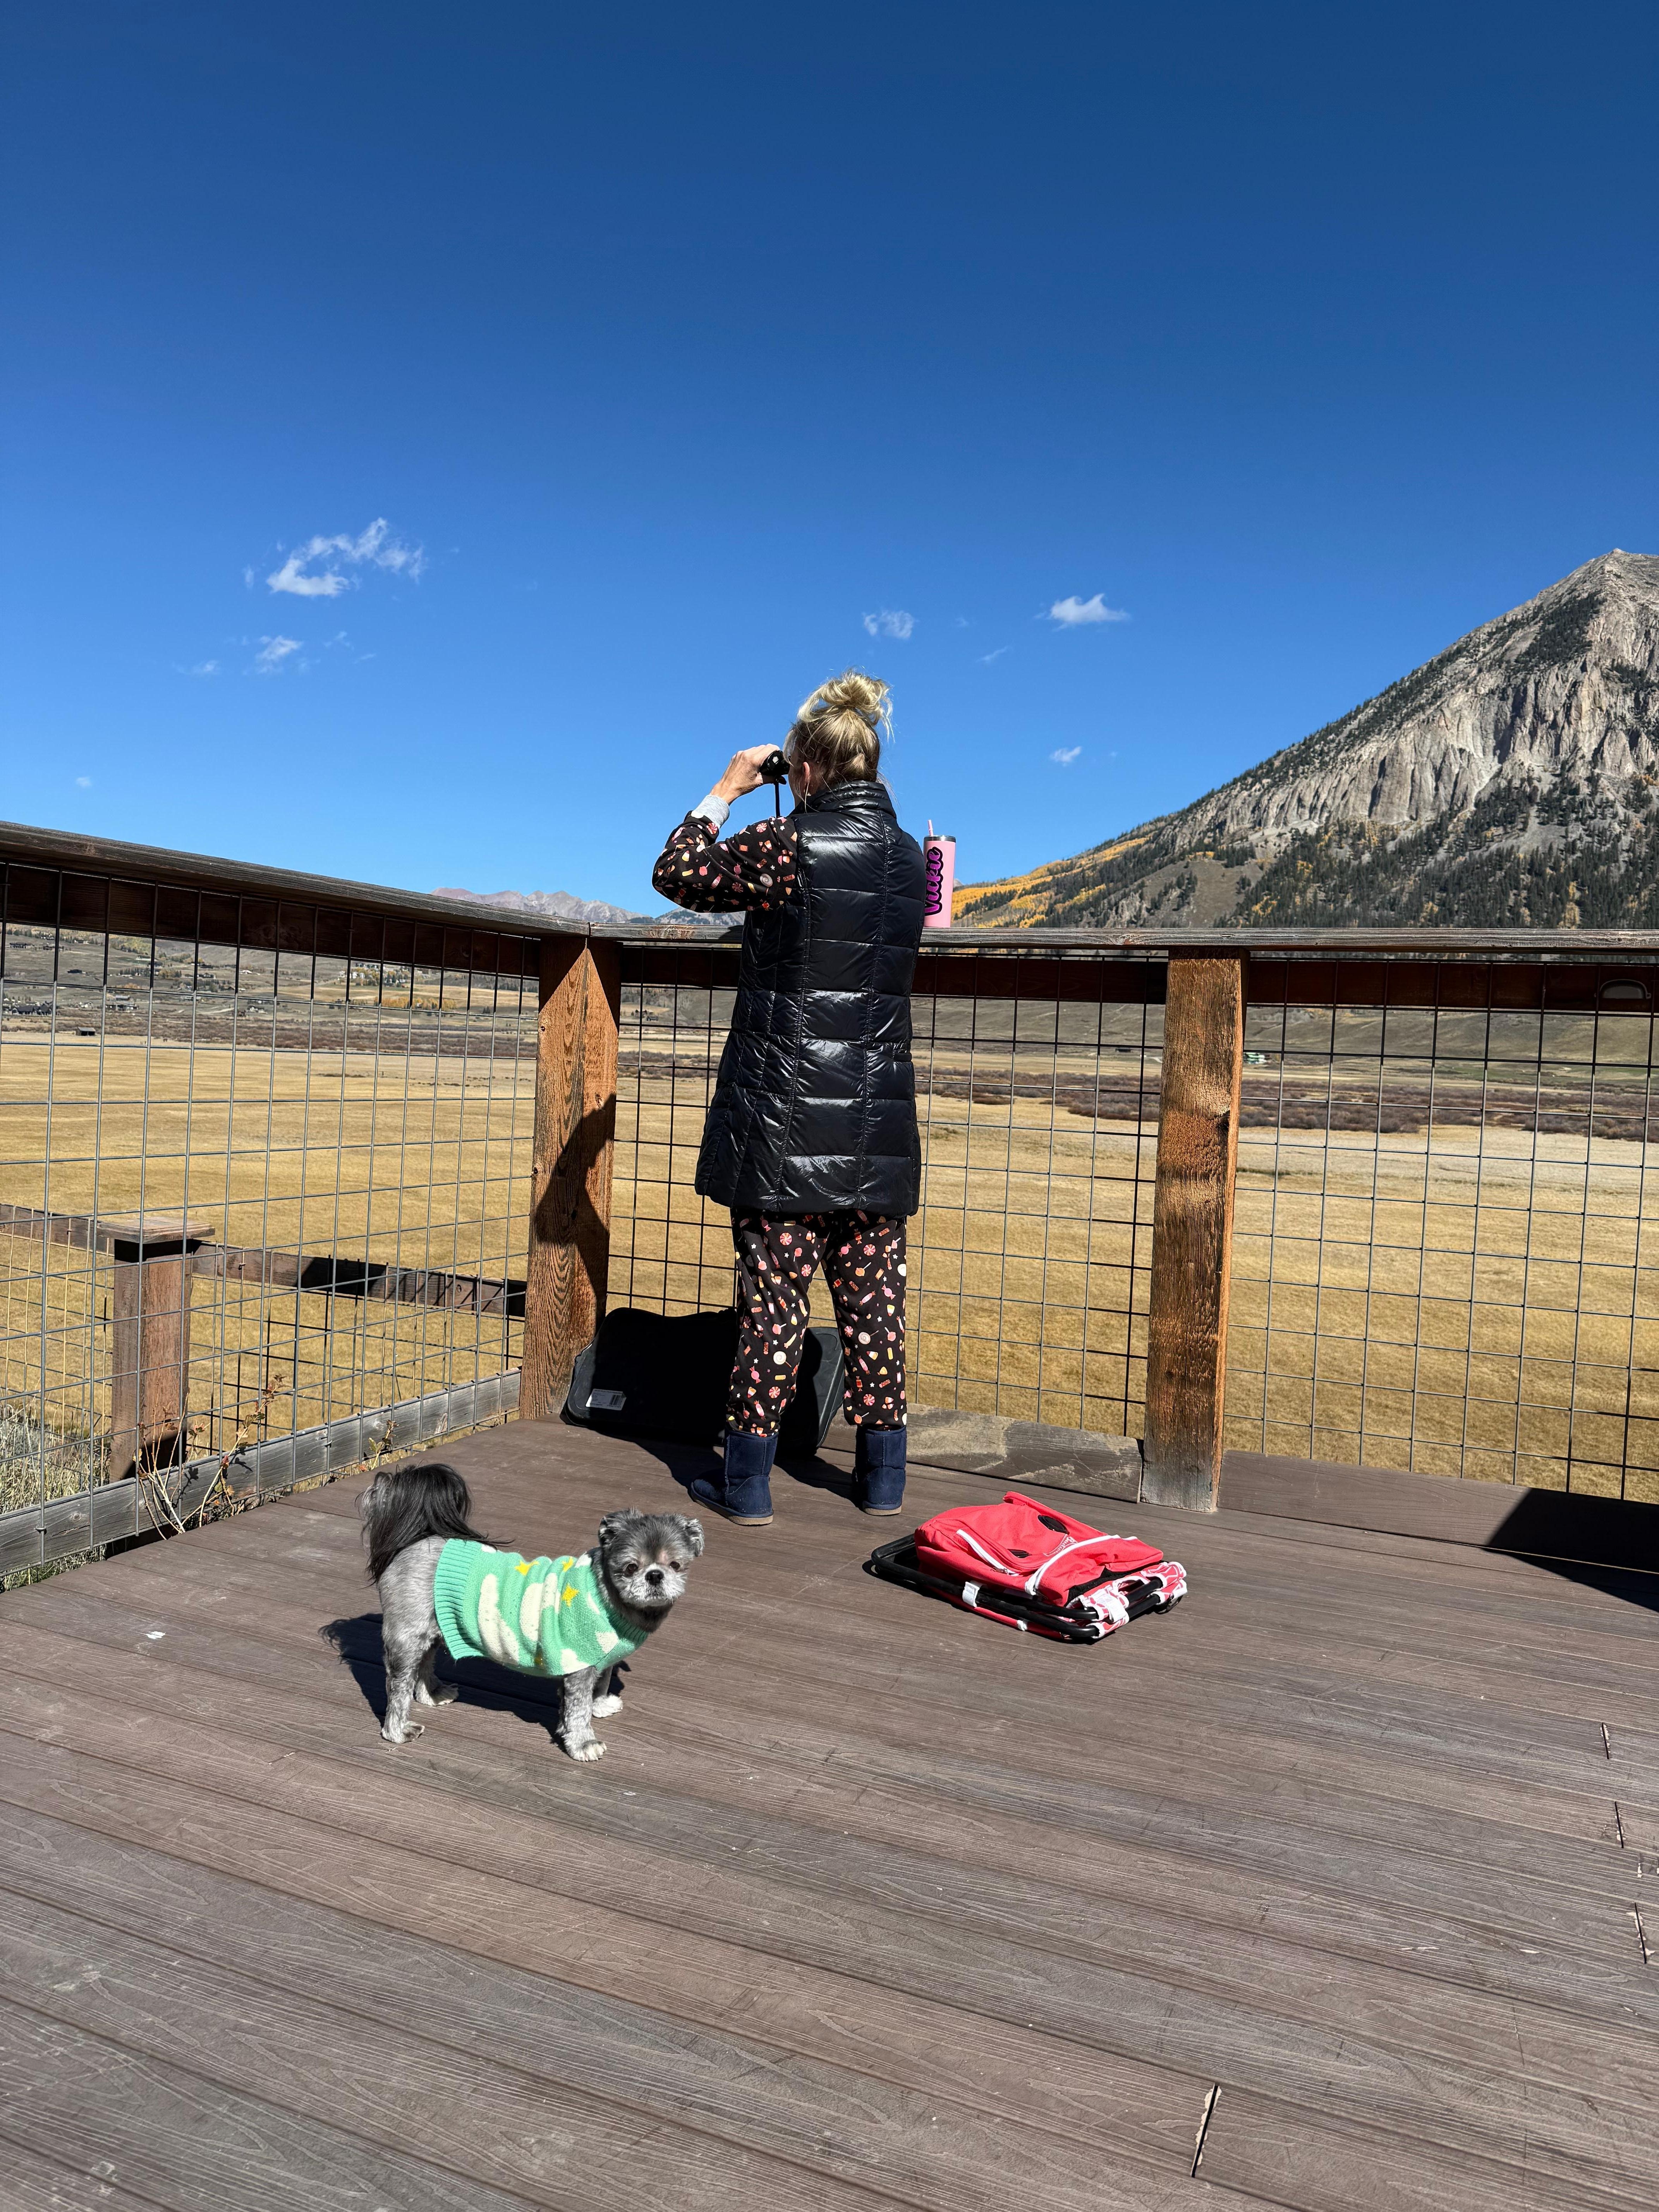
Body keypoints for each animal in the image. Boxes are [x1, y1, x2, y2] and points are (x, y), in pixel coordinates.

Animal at [360, 1460, 702, 1761]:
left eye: (676, 1565)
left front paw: (600, 1705)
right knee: (398, 1685)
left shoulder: (600, 1662)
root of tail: (411, 1542)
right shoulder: (579, 1666)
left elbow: (598, 1688)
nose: (655, 1576)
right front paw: (584, 1743)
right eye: (631, 1568)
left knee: (425, 1664)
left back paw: (433, 1694)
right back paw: (397, 1730)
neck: (606, 1595)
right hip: (407, 1637)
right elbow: (578, 1712)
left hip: (432, 1631)